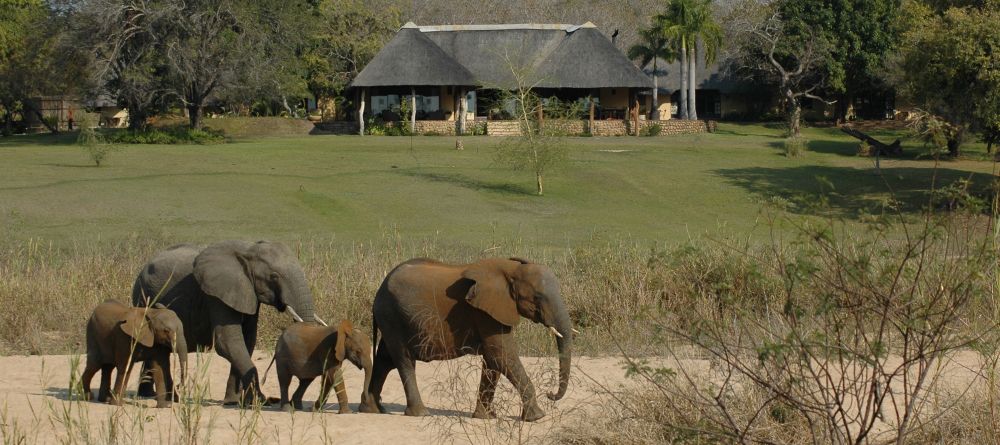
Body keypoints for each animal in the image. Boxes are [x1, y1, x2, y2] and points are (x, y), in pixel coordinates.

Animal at [131, 241, 326, 404]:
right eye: (274, 276)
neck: (247, 251)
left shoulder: (248, 293)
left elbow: (247, 341)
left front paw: (233, 401)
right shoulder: (217, 295)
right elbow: (228, 342)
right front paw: (261, 400)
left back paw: (146, 394)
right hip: (142, 296)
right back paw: (147, 395)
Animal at [370, 256, 576, 420]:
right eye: (538, 297)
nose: (550, 394)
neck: (511, 269)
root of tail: (379, 290)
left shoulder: (491, 311)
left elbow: (493, 361)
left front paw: (486, 417)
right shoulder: (484, 312)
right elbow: (501, 354)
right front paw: (537, 417)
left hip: (390, 318)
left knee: (384, 360)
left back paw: (373, 408)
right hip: (392, 316)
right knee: (403, 360)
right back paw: (419, 413)